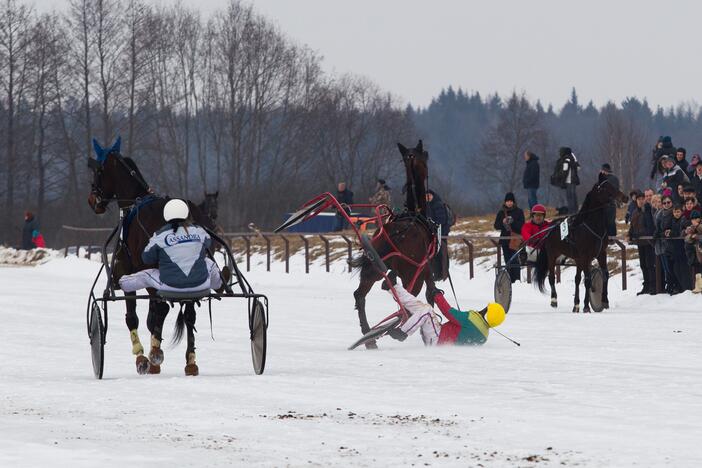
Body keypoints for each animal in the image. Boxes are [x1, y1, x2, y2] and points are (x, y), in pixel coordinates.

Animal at [88, 137, 216, 374]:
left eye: (98, 171)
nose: (93, 200)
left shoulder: (126, 272)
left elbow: (134, 317)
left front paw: (142, 357)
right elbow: (154, 316)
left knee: (163, 308)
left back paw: (155, 353)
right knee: (189, 314)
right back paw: (190, 361)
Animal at [350, 139, 438, 348]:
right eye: (425, 158)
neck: (415, 214)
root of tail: (394, 233)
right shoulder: (424, 269)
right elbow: (430, 294)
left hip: (372, 268)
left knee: (360, 295)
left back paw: (369, 336)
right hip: (410, 274)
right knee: (405, 302)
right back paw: (397, 330)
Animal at [536, 177, 628, 312]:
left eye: (613, 184)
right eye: (605, 187)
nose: (625, 197)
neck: (592, 226)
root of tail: (550, 227)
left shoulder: (600, 254)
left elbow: (605, 275)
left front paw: (604, 301)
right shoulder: (585, 256)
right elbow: (588, 280)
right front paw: (586, 306)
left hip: (578, 259)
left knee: (577, 279)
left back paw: (576, 305)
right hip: (552, 255)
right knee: (552, 277)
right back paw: (554, 300)